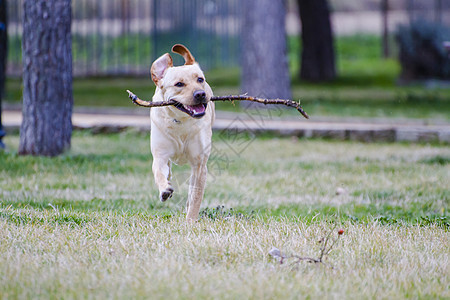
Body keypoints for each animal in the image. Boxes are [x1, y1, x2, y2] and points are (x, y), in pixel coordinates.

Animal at [150, 43, 215, 219]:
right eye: (179, 84)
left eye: (200, 79)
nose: (200, 94)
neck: (181, 122)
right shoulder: (160, 155)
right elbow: (159, 172)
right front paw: (165, 189)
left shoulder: (199, 165)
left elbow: (195, 198)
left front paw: (190, 221)